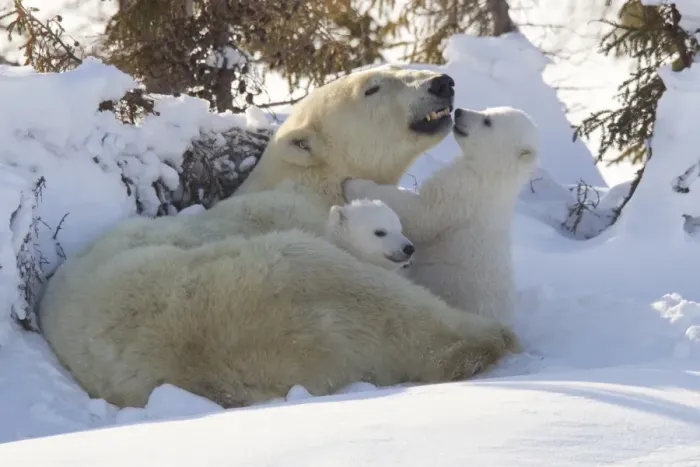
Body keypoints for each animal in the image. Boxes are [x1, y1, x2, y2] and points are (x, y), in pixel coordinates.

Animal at [343, 106, 539, 324]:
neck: (493, 179)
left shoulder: (460, 195)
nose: (460, 111)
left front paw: (354, 184)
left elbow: (420, 213)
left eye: (488, 121)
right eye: (487, 110)